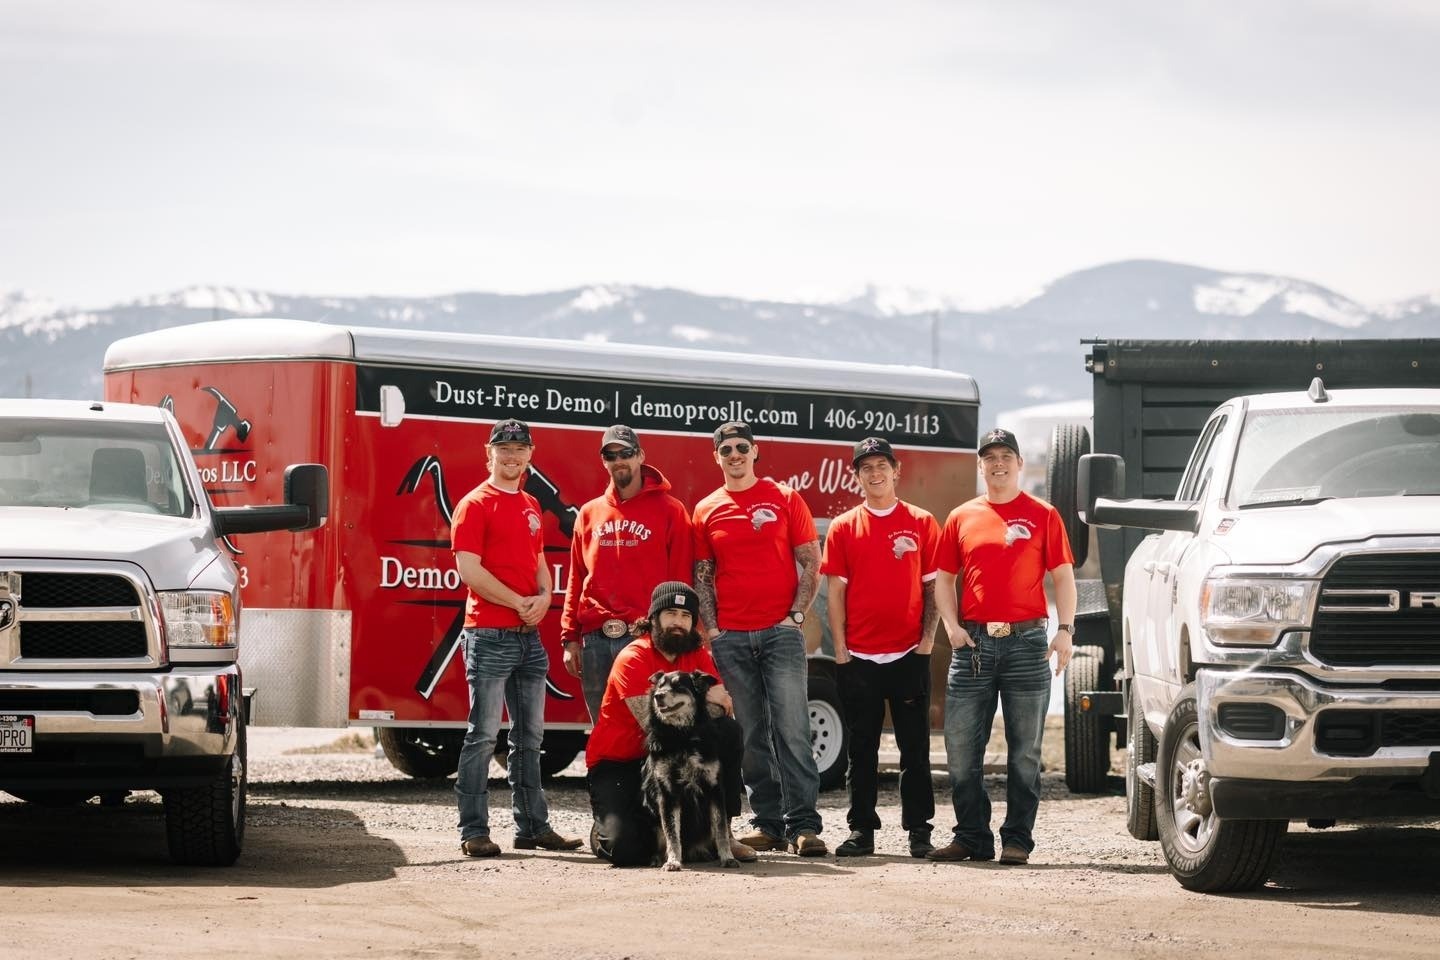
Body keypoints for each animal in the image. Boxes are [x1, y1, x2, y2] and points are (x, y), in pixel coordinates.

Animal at [648, 667, 748, 869]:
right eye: (660, 686)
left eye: (678, 686)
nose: (657, 696)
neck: (682, 737)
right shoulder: (667, 793)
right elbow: (671, 832)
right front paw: (673, 861)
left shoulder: (715, 788)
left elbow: (721, 830)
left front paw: (727, 857)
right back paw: (658, 858)